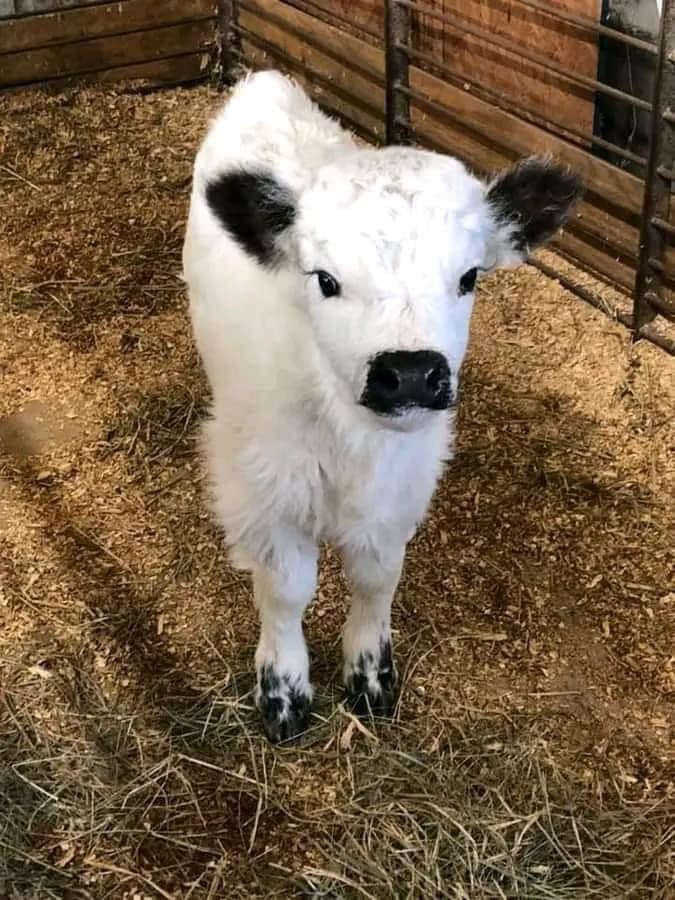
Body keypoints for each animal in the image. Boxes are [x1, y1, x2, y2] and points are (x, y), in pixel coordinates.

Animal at [184, 70, 580, 740]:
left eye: (469, 277)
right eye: (324, 279)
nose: (412, 372)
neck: (349, 438)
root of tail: (265, 81)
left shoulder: (402, 485)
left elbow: (377, 576)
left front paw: (370, 673)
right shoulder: (265, 487)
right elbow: (286, 589)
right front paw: (283, 689)